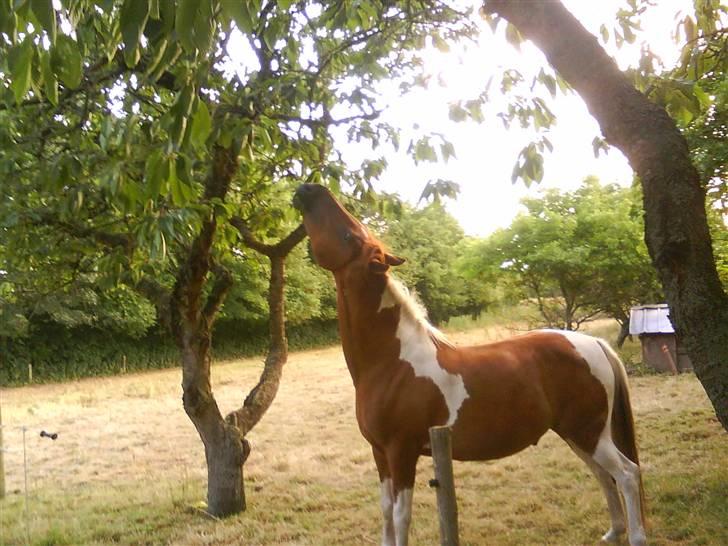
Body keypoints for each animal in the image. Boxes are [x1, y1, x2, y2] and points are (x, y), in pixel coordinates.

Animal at [292, 184, 644, 544]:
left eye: (348, 235)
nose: (309, 188)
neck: (393, 362)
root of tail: (594, 344)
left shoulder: (401, 452)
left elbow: (401, 516)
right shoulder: (380, 454)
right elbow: (386, 513)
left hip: (589, 432)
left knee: (627, 474)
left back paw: (635, 536)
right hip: (578, 434)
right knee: (603, 475)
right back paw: (613, 533)